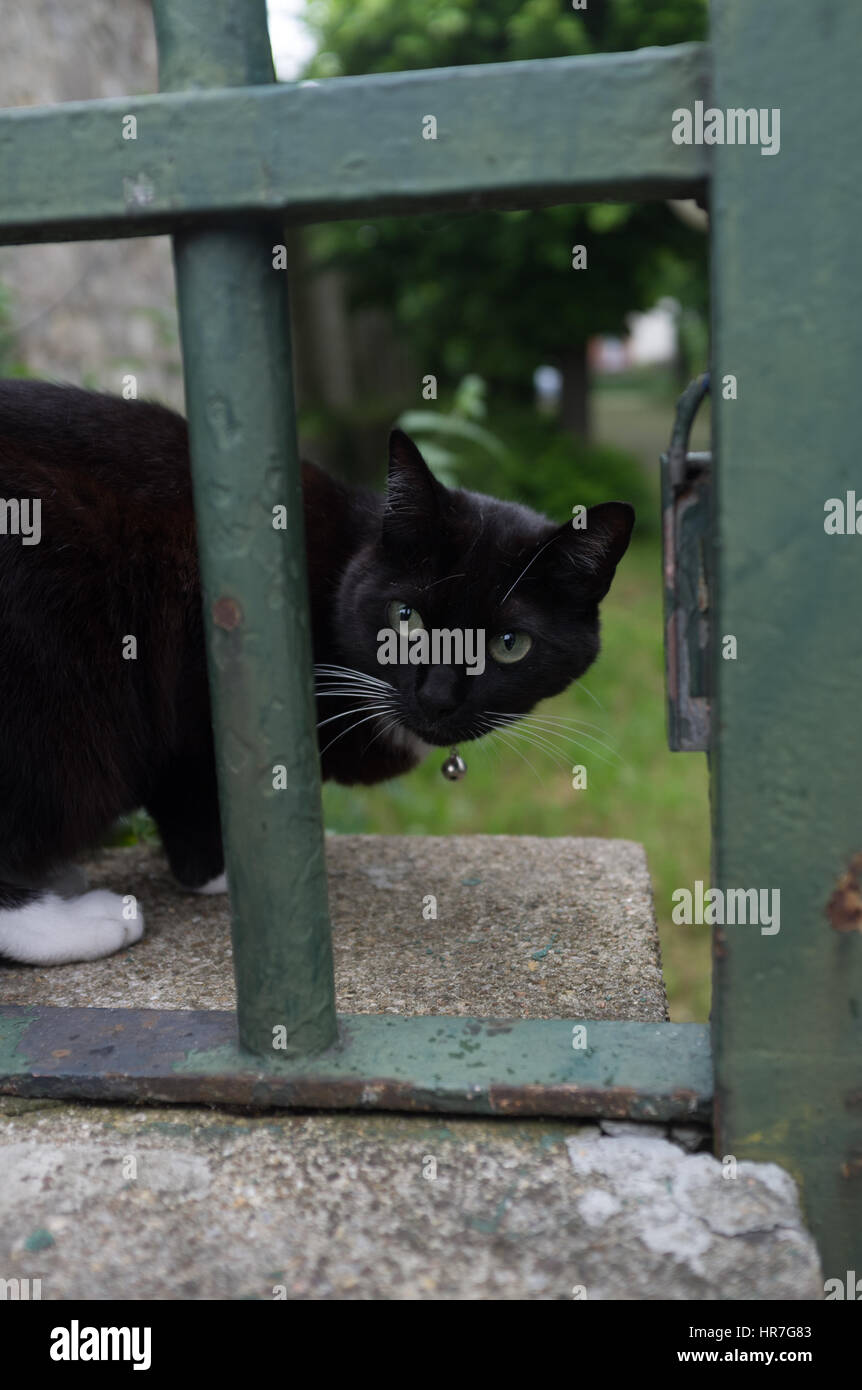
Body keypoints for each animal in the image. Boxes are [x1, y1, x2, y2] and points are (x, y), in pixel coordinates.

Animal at [0, 380, 633, 967]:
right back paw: (81, 921)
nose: (437, 697)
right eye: (405, 617)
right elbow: (193, 789)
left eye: (509, 645)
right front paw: (241, 875)